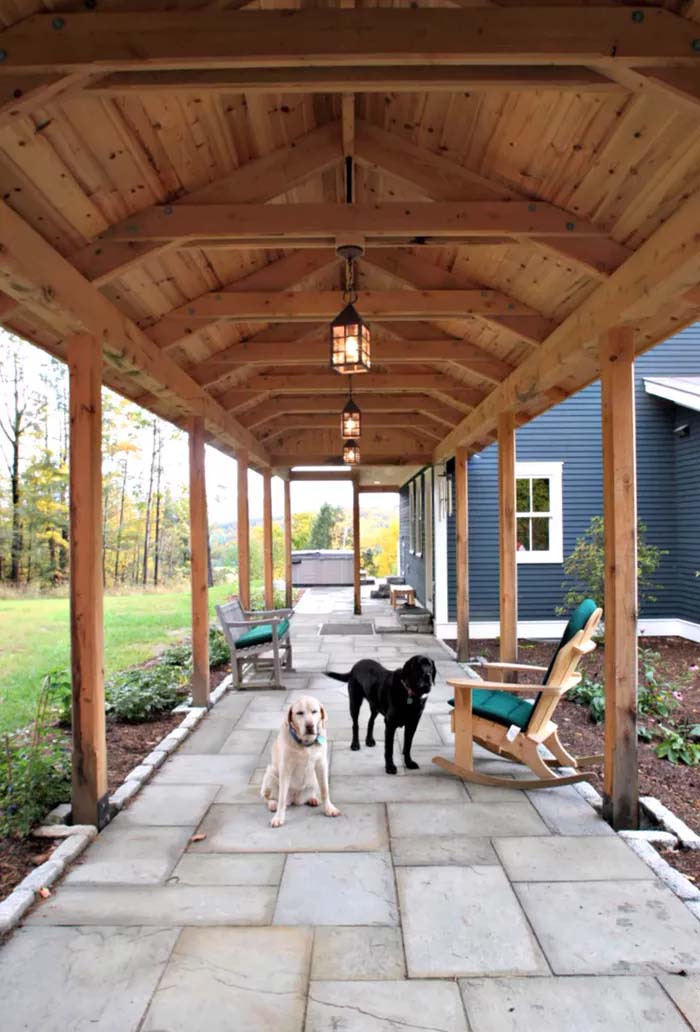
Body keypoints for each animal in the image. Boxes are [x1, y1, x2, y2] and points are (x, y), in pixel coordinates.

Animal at [262, 693, 340, 829]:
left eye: (314, 711)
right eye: (299, 713)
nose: (309, 726)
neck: (306, 744)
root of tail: (295, 799)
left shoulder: (321, 764)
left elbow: (325, 789)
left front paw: (328, 808)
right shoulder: (285, 768)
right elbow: (281, 798)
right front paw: (279, 817)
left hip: (313, 780)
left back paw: (313, 799)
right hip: (270, 773)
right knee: (269, 797)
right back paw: (272, 804)